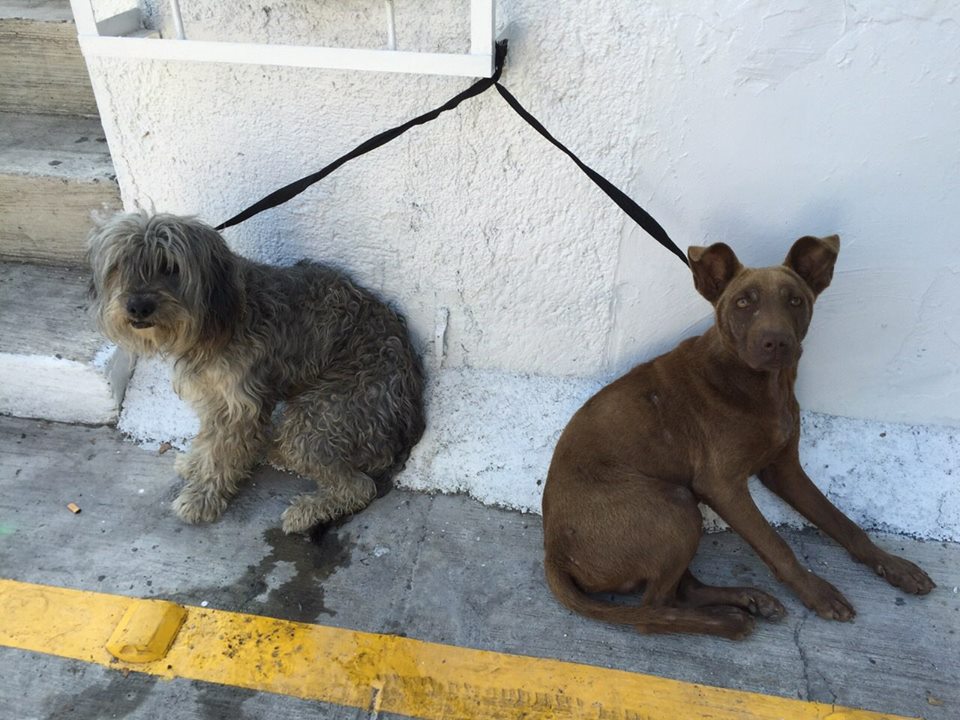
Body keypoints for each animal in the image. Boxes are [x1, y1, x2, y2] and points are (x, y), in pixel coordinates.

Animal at [90, 211, 424, 532]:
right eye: (119, 265)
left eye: (170, 266)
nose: (137, 307)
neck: (217, 318)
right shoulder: (214, 396)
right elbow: (209, 440)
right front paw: (197, 465)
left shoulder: (239, 405)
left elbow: (221, 451)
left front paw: (202, 497)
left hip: (322, 416)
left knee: (358, 487)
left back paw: (306, 511)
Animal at [544, 238, 932, 640]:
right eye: (743, 302)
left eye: (796, 300)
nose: (776, 342)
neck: (762, 386)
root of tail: (555, 554)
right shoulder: (722, 485)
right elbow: (776, 545)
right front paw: (817, 592)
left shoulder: (785, 471)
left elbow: (842, 522)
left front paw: (894, 565)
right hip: (676, 505)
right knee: (651, 613)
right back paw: (728, 621)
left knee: (680, 592)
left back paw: (748, 599)